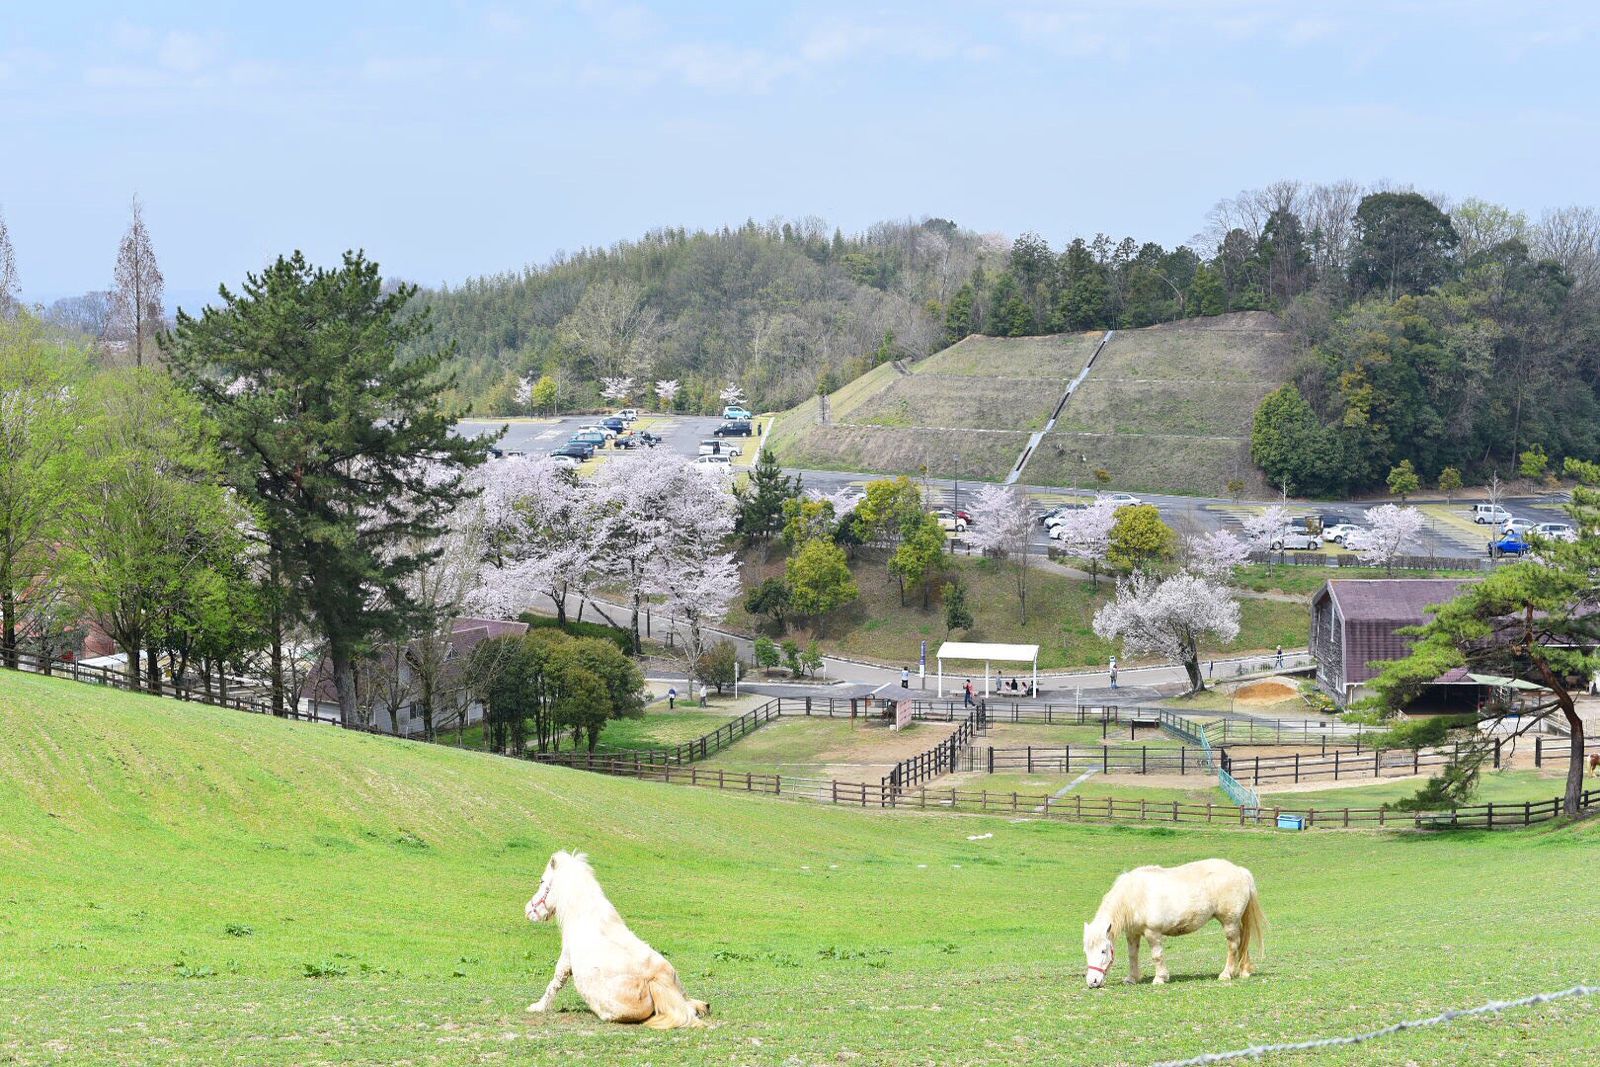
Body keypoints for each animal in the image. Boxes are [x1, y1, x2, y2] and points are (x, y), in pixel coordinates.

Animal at [524, 851, 707, 1023]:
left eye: (542, 881)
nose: (527, 910)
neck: (584, 916)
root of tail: (655, 980)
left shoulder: (566, 957)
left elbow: (556, 981)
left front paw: (538, 1007)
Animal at [1081, 857, 1267, 991]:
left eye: (1103, 950)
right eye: (1086, 951)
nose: (1093, 982)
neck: (1133, 896)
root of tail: (1240, 872)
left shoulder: (1153, 933)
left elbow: (1157, 956)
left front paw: (1160, 978)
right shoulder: (1133, 934)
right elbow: (1132, 955)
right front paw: (1131, 978)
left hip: (1229, 922)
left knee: (1234, 945)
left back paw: (1226, 974)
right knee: (1243, 942)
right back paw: (1244, 971)